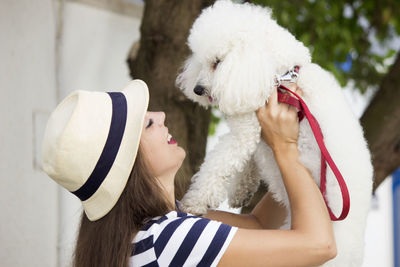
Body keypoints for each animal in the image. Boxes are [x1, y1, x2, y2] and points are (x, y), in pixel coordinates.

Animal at [177, 1, 374, 266]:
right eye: (199, 60)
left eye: (217, 62)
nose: (197, 89)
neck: (281, 76)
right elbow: (248, 160)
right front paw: (241, 191)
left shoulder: (245, 129)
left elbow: (218, 166)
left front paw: (194, 202)